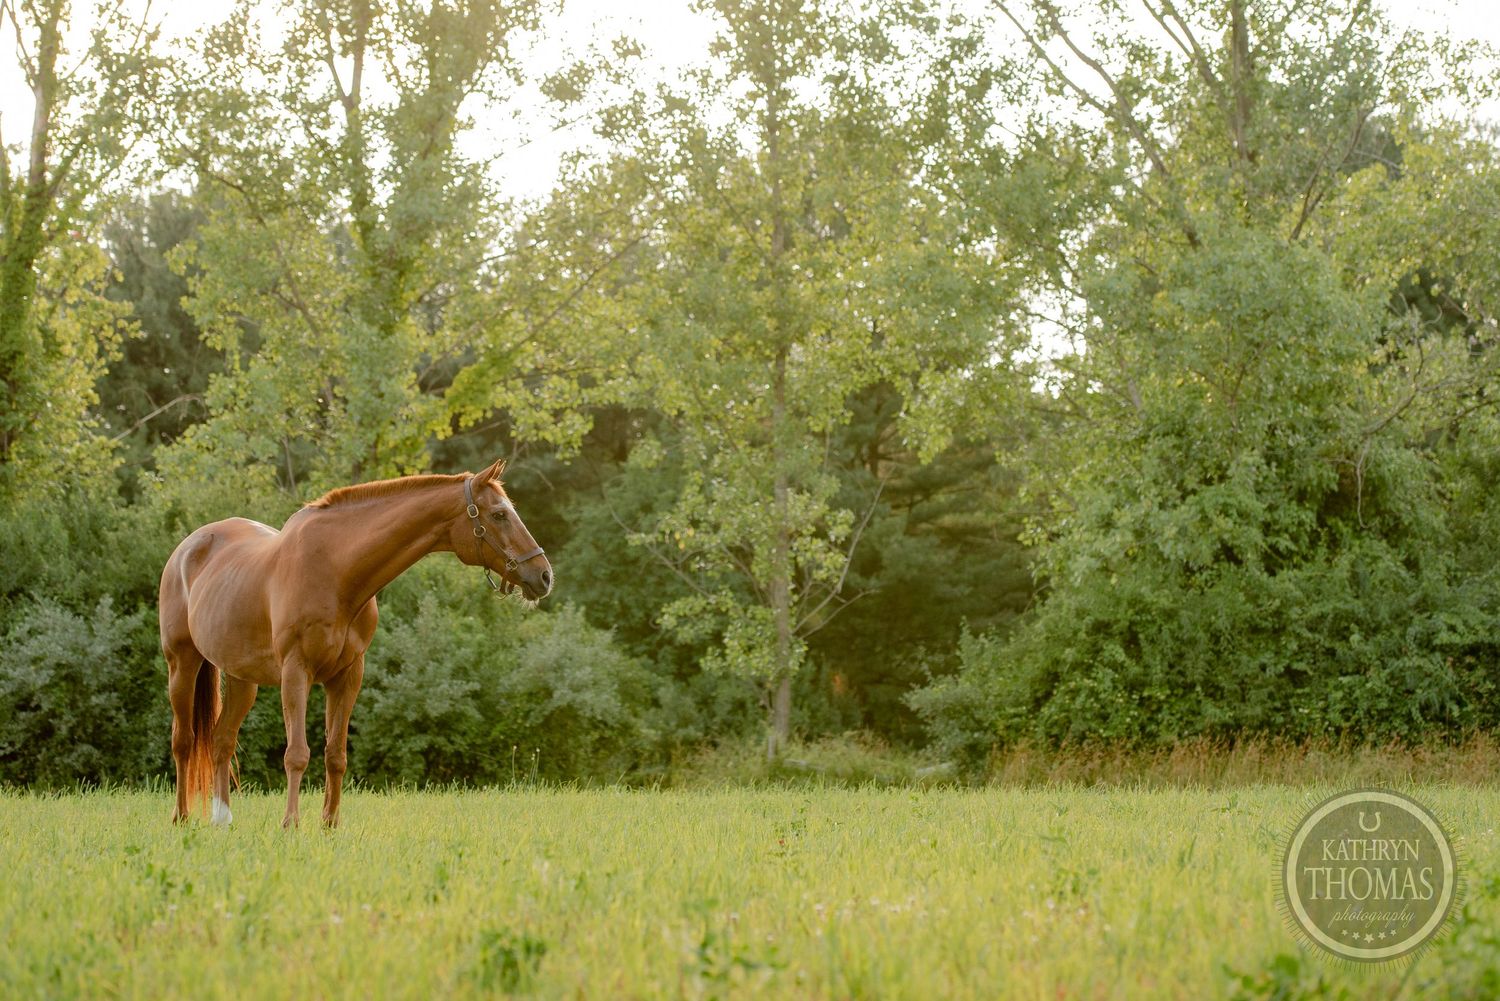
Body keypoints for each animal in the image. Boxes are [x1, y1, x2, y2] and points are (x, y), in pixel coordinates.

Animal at [157, 459, 552, 828]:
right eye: (499, 514)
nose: (544, 575)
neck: (336, 570)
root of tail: (187, 548)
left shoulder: (348, 675)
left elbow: (336, 755)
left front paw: (330, 825)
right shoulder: (296, 671)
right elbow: (296, 753)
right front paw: (291, 824)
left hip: (242, 679)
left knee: (222, 740)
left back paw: (222, 819)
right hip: (182, 664)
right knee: (184, 740)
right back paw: (181, 817)